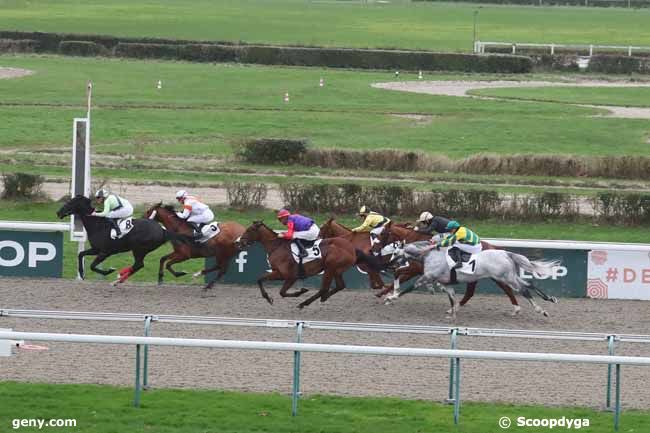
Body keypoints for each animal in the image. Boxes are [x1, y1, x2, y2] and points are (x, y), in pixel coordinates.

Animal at [55, 195, 184, 284]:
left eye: (70, 202)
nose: (58, 212)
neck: (97, 225)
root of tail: (162, 229)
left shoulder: (105, 252)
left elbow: (92, 266)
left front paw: (109, 271)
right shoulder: (96, 249)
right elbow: (81, 254)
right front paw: (81, 274)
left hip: (139, 249)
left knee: (139, 264)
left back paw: (118, 279)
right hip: (140, 250)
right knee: (138, 265)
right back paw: (119, 279)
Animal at [234, 221, 380, 308]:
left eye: (249, 230)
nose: (238, 242)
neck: (277, 247)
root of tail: (352, 248)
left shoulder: (288, 276)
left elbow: (281, 292)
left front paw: (301, 291)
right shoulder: (278, 273)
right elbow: (260, 279)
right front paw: (268, 298)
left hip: (330, 268)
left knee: (324, 288)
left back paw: (305, 303)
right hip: (336, 270)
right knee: (339, 286)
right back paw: (322, 298)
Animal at [372, 221, 520, 316]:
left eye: (383, 233)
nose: (374, 249)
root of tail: (494, 248)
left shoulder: (415, 269)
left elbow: (398, 274)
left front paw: (390, 295)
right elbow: (397, 275)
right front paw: (385, 294)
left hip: (494, 276)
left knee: (505, 289)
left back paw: (516, 309)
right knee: (470, 293)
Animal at [384, 241, 556, 318]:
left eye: (395, 253)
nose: (389, 265)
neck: (429, 255)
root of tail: (506, 253)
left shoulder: (427, 277)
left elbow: (409, 288)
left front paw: (391, 297)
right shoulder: (446, 283)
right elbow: (452, 298)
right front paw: (452, 314)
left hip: (506, 277)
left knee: (524, 290)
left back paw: (541, 310)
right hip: (509, 276)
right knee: (529, 284)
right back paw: (550, 299)